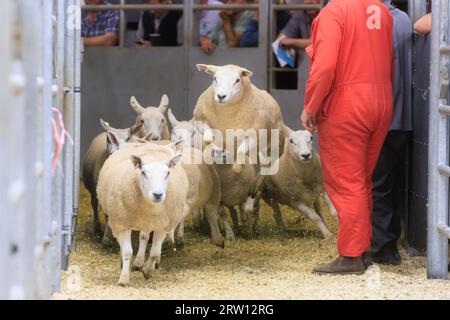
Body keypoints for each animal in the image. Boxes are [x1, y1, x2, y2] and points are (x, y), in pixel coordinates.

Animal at [97, 142, 189, 284]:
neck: (150, 206)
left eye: (168, 173)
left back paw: (139, 263)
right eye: (143, 172)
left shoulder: (162, 226)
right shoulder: (122, 223)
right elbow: (127, 252)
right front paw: (124, 279)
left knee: (144, 237)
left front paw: (147, 271)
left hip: (146, 222)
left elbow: (155, 253)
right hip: (121, 220)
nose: (158, 194)